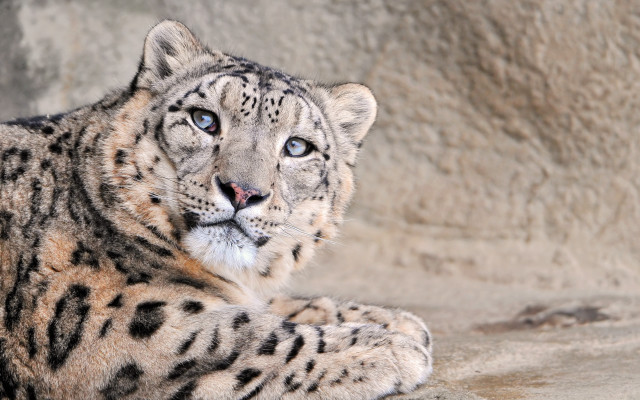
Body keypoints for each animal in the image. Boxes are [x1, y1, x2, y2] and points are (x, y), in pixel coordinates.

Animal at [0, 20, 432, 399]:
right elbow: (246, 335)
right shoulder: (116, 325)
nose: (243, 191)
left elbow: (272, 306)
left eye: (297, 147)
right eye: (204, 119)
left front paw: (395, 321)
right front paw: (390, 346)